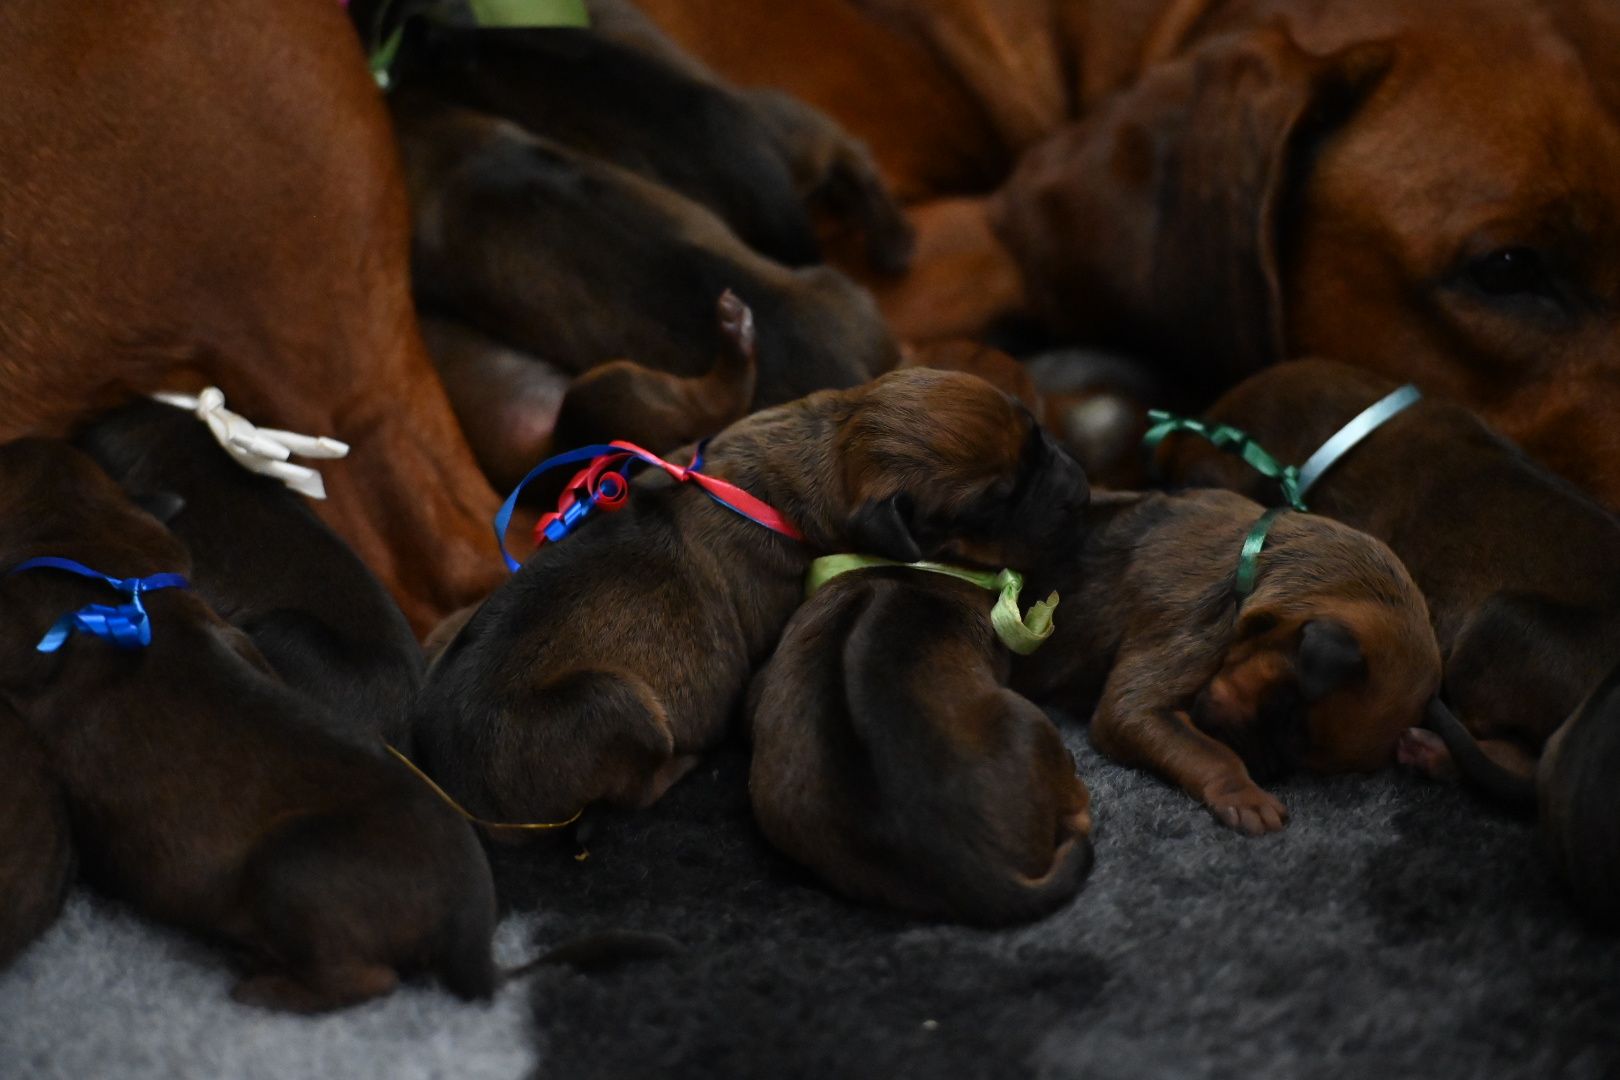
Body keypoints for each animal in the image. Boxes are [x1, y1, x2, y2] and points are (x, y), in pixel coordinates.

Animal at [411, 368, 1090, 827]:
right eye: (994, 503)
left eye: (1037, 434)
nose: (1081, 492)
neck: (821, 446)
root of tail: (451, 789)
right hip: (613, 702)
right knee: (634, 788)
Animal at [1012, 486, 1439, 834]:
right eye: (1285, 713)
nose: (1266, 770)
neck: (1257, 565)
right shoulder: (1149, 687)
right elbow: (1210, 751)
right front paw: (1246, 796)